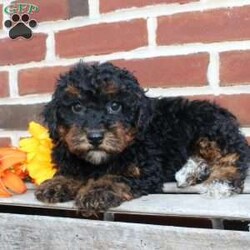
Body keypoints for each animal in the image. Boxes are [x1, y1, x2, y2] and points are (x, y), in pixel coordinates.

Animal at [35, 61, 250, 216]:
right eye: (76, 107)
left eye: (115, 106)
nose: (95, 137)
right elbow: (72, 172)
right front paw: (57, 184)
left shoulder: (144, 169)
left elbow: (115, 177)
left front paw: (96, 191)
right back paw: (189, 173)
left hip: (209, 129)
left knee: (233, 157)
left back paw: (220, 182)